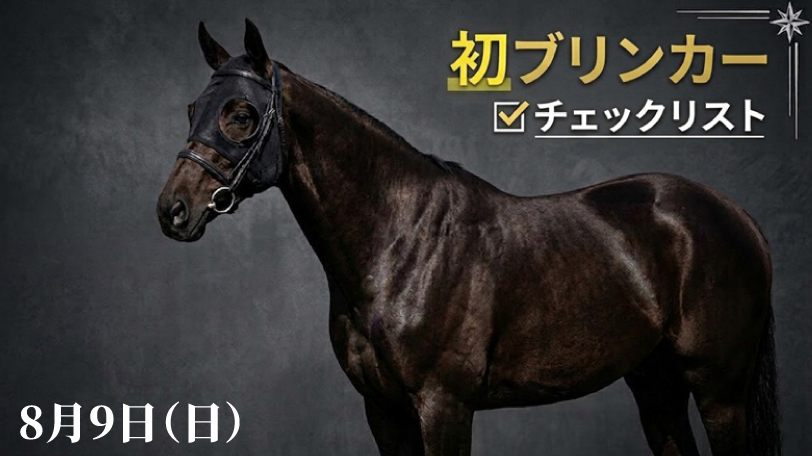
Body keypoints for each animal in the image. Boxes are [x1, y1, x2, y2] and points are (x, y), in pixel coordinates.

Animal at [156, 20, 779, 456]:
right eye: (192, 109)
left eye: (241, 114)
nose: (173, 211)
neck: (400, 246)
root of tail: (736, 214)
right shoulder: (383, 412)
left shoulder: (444, 406)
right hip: (657, 385)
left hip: (719, 390)